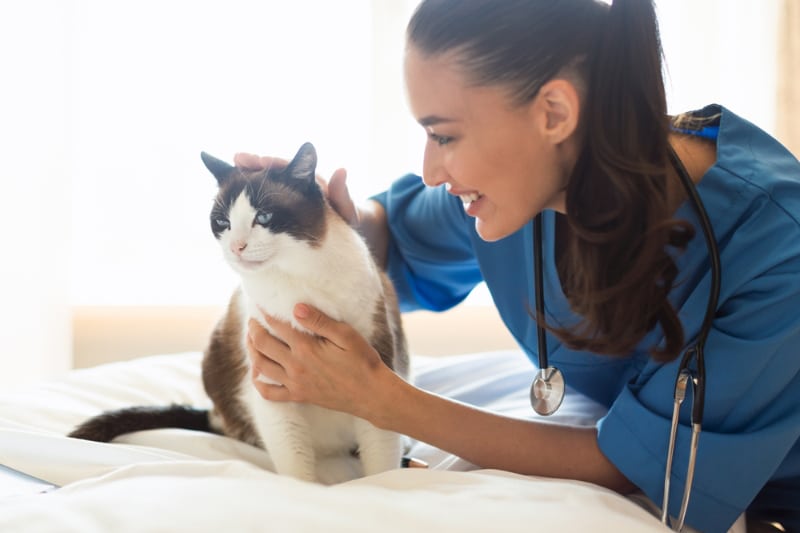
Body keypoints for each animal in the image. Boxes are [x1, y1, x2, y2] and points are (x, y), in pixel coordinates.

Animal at [65, 141, 410, 482]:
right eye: (223, 223)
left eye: (265, 217)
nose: (237, 247)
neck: (297, 281)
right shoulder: (272, 389)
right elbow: (297, 472)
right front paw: (307, 491)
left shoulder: (372, 380)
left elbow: (382, 465)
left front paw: (381, 484)